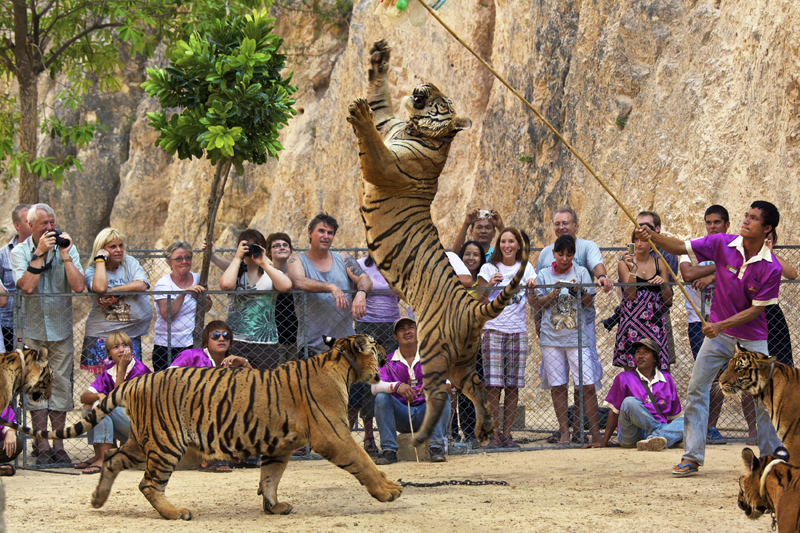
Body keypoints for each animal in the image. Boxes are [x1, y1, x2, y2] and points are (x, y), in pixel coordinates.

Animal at [0, 334, 400, 516]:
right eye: (375, 345)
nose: (385, 351)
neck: (342, 364)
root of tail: (137, 380)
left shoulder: (279, 446)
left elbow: (270, 478)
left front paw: (274, 507)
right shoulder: (334, 434)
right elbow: (363, 461)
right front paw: (389, 490)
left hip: (142, 443)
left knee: (112, 461)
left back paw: (98, 499)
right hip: (165, 445)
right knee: (148, 484)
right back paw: (175, 513)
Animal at [346, 38, 528, 444]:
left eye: (442, 101)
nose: (424, 87)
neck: (415, 129)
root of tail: (473, 306)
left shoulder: (385, 165)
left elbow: (372, 146)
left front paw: (358, 113)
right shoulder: (389, 121)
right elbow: (380, 96)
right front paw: (379, 56)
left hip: (431, 353)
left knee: (439, 395)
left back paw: (422, 438)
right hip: (463, 359)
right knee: (476, 385)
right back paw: (483, 428)